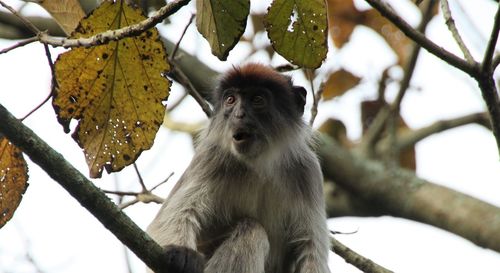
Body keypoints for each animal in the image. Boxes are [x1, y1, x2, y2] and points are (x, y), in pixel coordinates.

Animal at [146, 63, 330, 272]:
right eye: (231, 100)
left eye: (257, 100)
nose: (238, 114)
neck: (260, 163)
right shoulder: (211, 156)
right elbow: (169, 219)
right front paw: (182, 252)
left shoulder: (307, 171)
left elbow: (311, 249)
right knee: (252, 229)